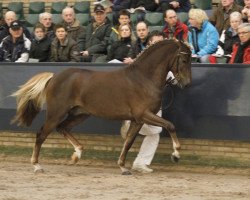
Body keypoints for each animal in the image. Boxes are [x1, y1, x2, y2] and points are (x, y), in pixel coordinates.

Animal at [11, 38, 191, 173]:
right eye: (183, 59)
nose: (186, 83)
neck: (143, 78)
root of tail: (54, 77)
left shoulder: (137, 120)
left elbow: (128, 142)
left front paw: (123, 167)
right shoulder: (143, 115)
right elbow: (170, 125)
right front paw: (176, 155)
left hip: (80, 114)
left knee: (63, 128)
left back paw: (77, 154)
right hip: (56, 113)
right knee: (41, 134)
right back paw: (37, 165)